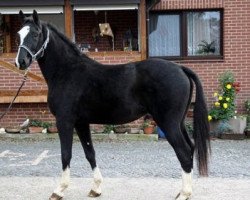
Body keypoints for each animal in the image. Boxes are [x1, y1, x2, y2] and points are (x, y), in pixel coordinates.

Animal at [15, 10, 210, 200]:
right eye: (19, 34)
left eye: (35, 34)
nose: (21, 62)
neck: (67, 72)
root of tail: (181, 69)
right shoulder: (81, 123)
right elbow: (90, 153)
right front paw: (96, 189)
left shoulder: (65, 121)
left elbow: (66, 154)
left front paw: (59, 190)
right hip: (178, 123)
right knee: (190, 149)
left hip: (168, 123)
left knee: (183, 152)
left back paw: (184, 194)